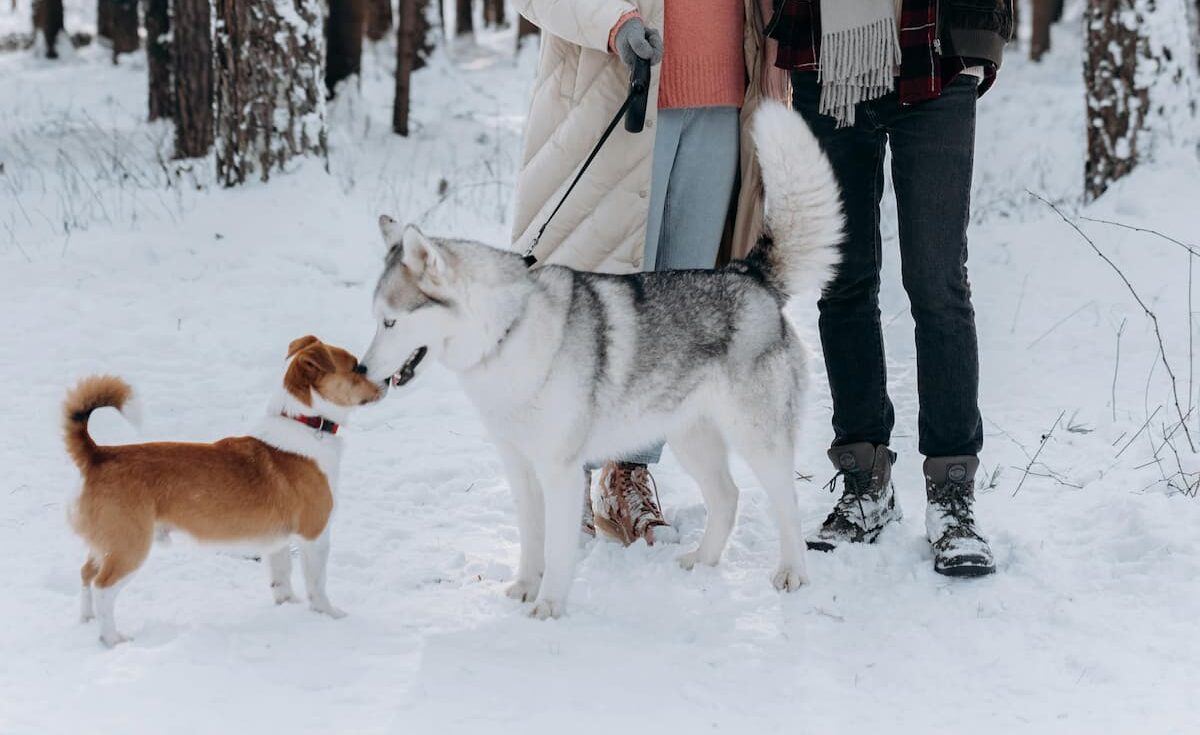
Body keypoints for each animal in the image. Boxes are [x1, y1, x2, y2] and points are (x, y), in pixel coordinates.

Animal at [62, 336, 379, 643]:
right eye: (356, 368)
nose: (385, 383)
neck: (304, 423)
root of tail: (98, 454)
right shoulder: (314, 535)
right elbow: (317, 584)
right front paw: (330, 615)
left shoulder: (278, 542)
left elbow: (282, 579)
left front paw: (288, 607)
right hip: (130, 546)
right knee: (103, 588)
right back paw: (112, 638)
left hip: (105, 546)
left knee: (86, 575)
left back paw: (87, 621)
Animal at [360, 100, 840, 614]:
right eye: (377, 319)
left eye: (391, 323)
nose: (362, 370)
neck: (508, 331)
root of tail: (747, 273)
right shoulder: (519, 465)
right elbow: (532, 539)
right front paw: (524, 588)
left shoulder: (560, 469)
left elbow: (557, 546)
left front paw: (547, 607)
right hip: (691, 436)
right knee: (727, 497)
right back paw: (703, 560)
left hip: (757, 439)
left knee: (785, 502)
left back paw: (792, 572)